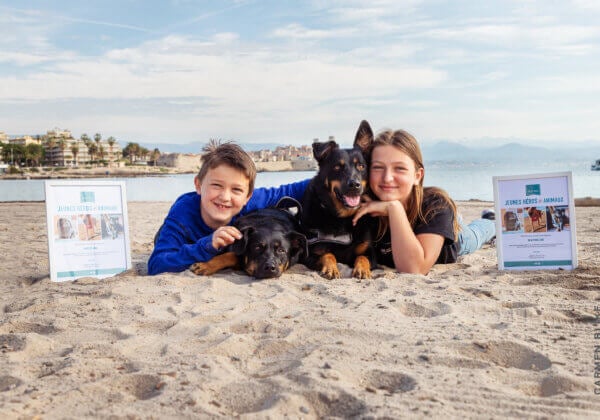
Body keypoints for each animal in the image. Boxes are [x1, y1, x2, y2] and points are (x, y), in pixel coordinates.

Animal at [302, 120, 378, 280]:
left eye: (361, 166)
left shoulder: (370, 252)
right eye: (337, 167)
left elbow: (362, 257)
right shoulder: (309, 253)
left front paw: (362, 269)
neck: (342, 218)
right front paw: (331, 268)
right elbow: (328, 254)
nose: (354, 185)